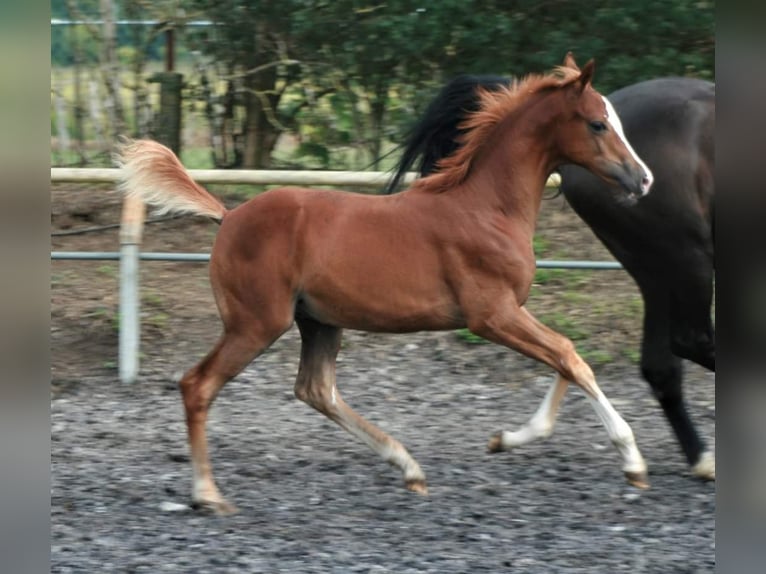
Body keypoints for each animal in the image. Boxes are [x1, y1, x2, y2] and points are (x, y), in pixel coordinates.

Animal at [118, 55, 656, 516]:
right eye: (598, 123)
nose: (644, 180)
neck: (486, 208)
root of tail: (228, 216)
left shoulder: (511, 311)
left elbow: (565, 358)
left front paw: (504, 438)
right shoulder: (492, 315)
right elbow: (569, 355)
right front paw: (632, 461)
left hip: (317, 321)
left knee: (316, 389)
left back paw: (409, 467)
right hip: (256, 323)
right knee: (198, 386)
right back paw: (208, 495)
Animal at [388, 75, 716, 482]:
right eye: (598, 124)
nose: (642, 179)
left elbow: (565, 355)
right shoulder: (493, 312)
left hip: (659, 266)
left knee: (663, 362)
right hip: (684, 255)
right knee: (690, 343)